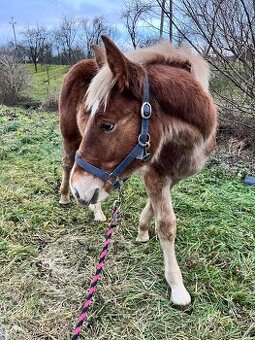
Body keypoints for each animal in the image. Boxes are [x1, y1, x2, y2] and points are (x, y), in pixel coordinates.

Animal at [58, 35, 216, 306]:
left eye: (106, 125)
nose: (81, 190)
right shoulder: (156, 174)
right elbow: (166, 224)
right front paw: (177, 287)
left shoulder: (171, 176)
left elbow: (155, 209)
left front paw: (142, 231)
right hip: (70, 137)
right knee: (68, 163)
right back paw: (65, 196)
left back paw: (94, 209)